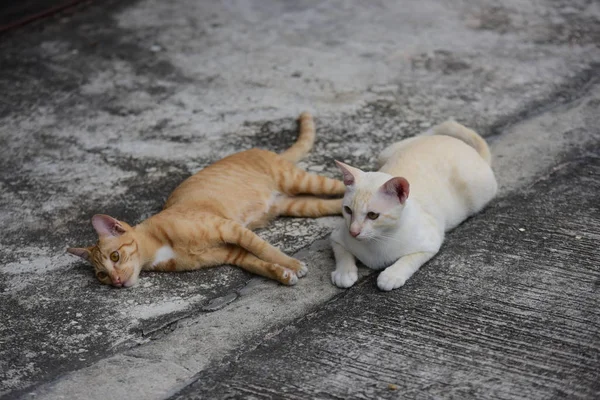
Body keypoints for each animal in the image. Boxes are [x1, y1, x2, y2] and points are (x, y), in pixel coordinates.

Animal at [67, 112, 342, 288]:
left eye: (115, 257)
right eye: (101, 275)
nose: (115, 282)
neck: (158, 246)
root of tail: (262, 150)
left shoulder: (231, 229)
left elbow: (265, 249)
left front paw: (292, 264)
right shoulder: (232, 254)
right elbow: (258, 263)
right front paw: (283, 274)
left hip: (298, 180)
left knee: (343, 184)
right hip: (296, 205)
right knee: (331, 204)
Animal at [328, 119, 496, 290]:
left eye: (372, 215)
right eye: (348, 210)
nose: (353, 232)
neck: (377, 242)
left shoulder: (430, 243)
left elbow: (408, 259)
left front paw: (392, 275)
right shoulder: (337, 235)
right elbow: (342, 253)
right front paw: (344, 273)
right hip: (385, 153)